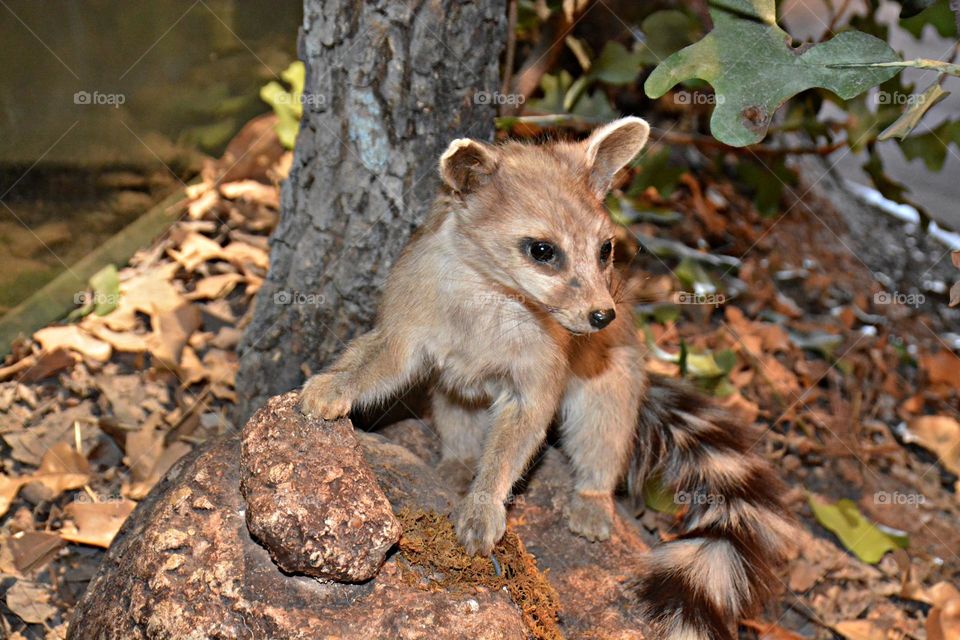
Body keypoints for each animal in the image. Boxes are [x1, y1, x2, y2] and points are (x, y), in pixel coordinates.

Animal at [299, 117, 795, 639]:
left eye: (605, 249)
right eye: (542, 251)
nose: (603, 316)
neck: (494, 287)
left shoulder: (546, 354)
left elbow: (523, 426)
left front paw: (486, 497)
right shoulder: (416, 300)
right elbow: (386, 355)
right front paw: (337, 383)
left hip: (614, 374)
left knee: (601, 429)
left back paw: (593, 490)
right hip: (458, 387)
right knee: (456, 407)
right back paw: (457, 458)